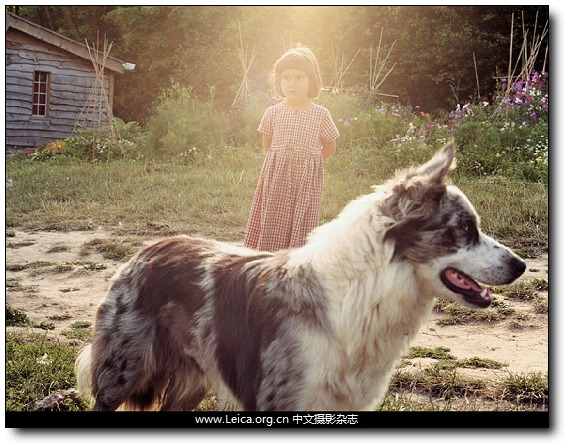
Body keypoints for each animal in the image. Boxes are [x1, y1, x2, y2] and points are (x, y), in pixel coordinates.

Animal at [75, 141, 524, 410]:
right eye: (464, 228)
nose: (520, 265)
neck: (364, 291)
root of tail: (145, 250)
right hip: (120, 373)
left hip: (194, 378)